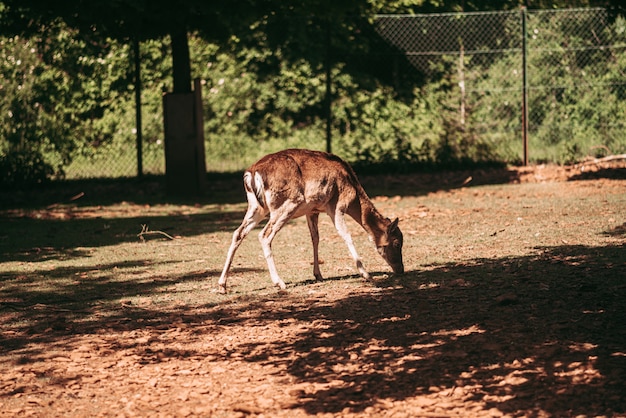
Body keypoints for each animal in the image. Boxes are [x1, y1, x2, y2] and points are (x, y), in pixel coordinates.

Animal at [217, 149, 402, 292]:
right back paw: (279, 282)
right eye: (396, 242)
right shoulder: (337, 205)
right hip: (288, 202)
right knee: (264, 234)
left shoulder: (312, 211)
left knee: (238, 233)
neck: (354, 193)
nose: (400, 269)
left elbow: (315, 238)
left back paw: (222, 285)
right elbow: (346, 235)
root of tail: (252, 173)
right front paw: (366, 274)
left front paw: (318, 275)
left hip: (256, 207)